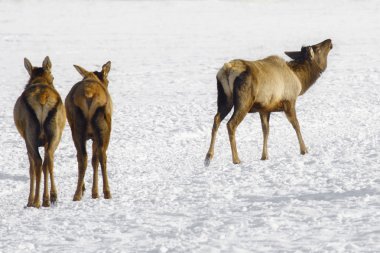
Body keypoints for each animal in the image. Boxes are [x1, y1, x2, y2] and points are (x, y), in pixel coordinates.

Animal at [13, 56, 66, 208]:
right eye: (53, 77)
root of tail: (42, 97)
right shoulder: (47, 141)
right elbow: (45, 166)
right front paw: (46, 198)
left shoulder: (26, 140)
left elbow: (31, 168)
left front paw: (30, 200)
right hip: (55, 133)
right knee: (49, 159)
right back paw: (52, 197)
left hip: (30, 134)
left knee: (37, 162)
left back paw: (35, 201)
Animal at [65, 60, 112, 201]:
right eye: (108, 81)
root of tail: (89, 94)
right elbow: (95, 160)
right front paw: (94, 192)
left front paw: (90, 191)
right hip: (104, 129)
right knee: (102, 156)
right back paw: (107, 192)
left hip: (77, 130)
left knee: (82, 157)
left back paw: (77, 194)